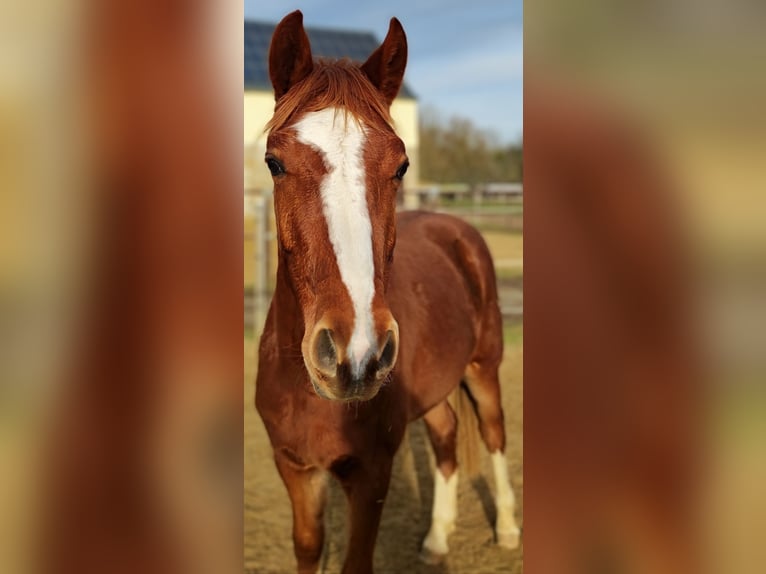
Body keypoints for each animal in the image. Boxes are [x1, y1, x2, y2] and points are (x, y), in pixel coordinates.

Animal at [258, 10, 520, 574]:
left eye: (400, 166)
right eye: (274, 162)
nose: (356, 356)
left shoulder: (372, 474)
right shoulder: (294, 469)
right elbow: (308, 547)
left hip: (483, 368)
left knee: (494, 434)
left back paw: (509, 528)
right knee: (445, 438)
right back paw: (437, 540)